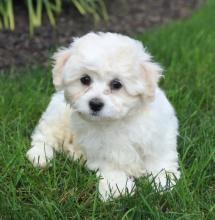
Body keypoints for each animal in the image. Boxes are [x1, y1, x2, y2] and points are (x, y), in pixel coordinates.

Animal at [26, 31, 180, 200]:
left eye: (117, 84)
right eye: (85, 79)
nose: (95, 104)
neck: (118, 121)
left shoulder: (158, 137)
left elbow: (159, 160)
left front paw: (163, 182)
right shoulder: (100, 150)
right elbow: (111, 166)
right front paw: (118, 188)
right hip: (57, 116)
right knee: (45, 136)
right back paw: (40, 156)